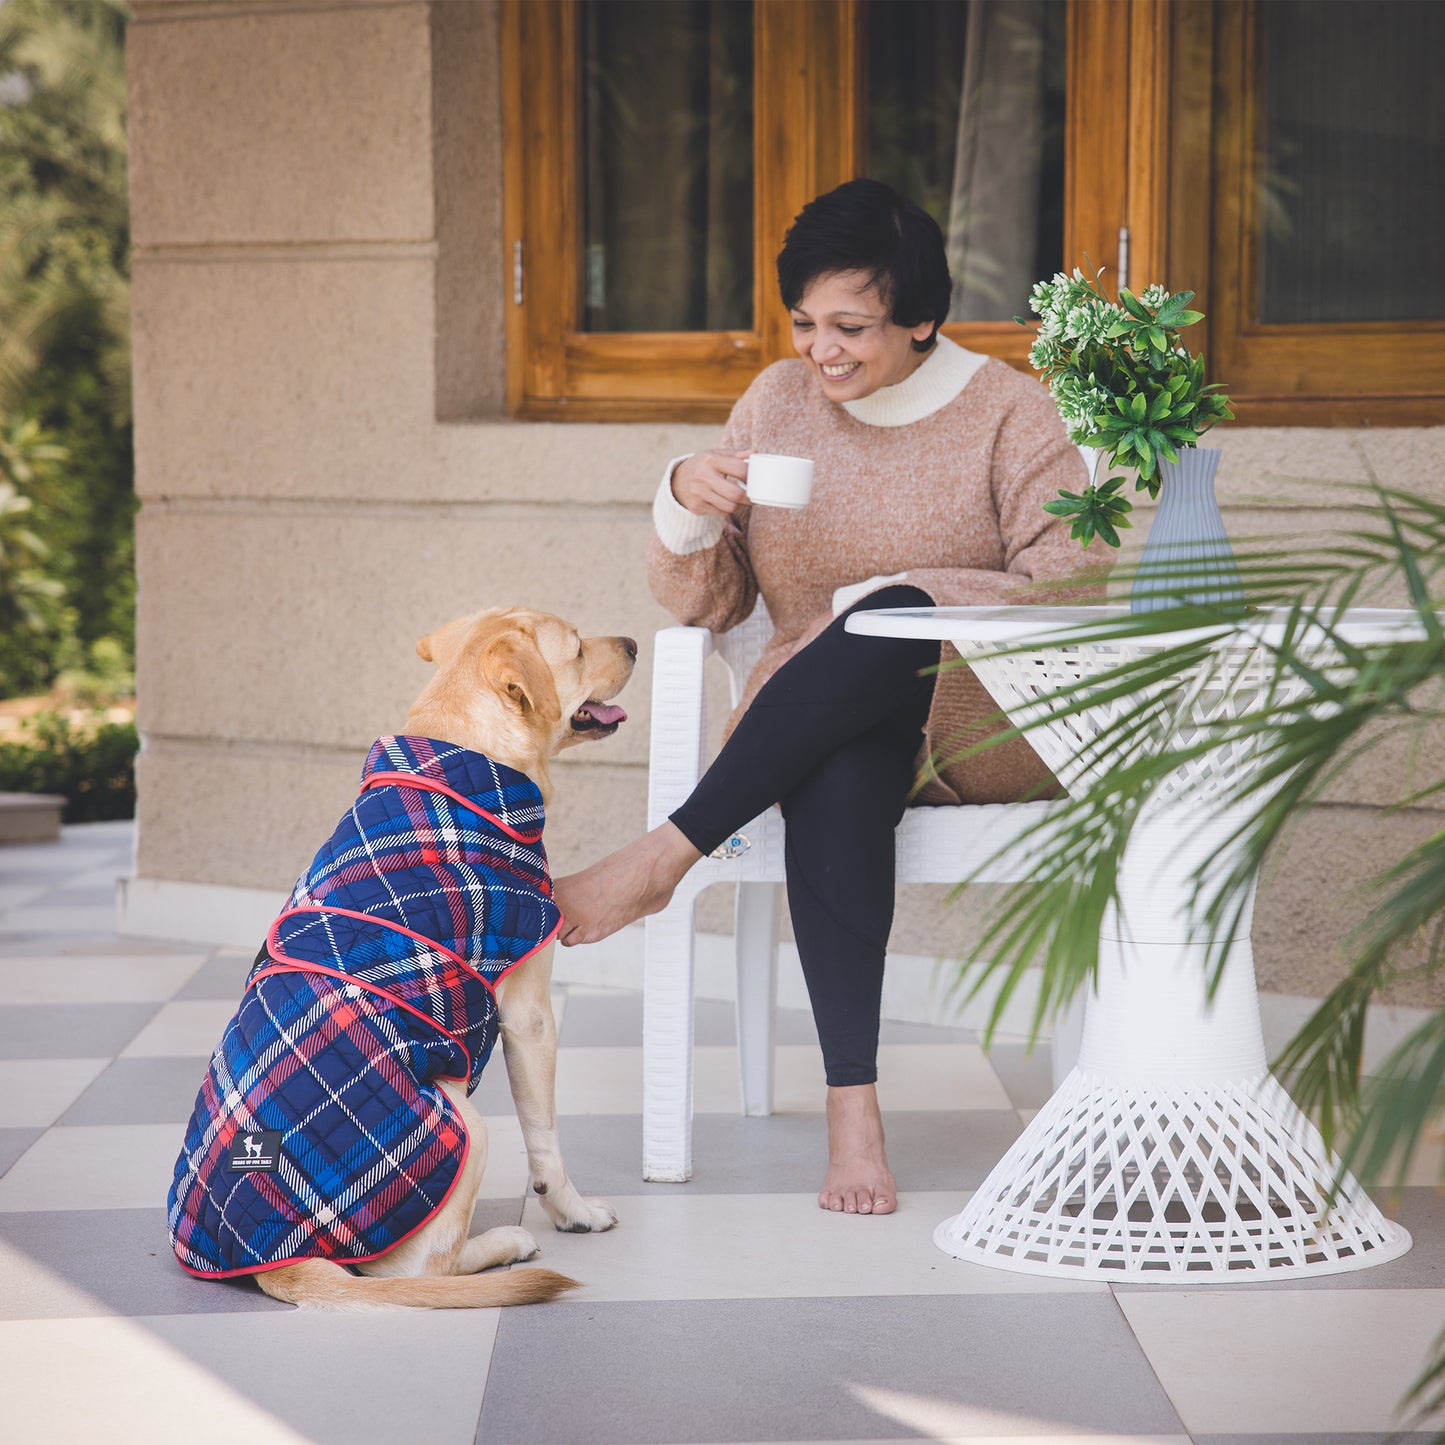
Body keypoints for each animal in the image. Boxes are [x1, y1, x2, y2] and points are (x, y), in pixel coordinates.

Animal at [167, 606, 632, 1312]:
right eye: (578, 649)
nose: (634, 642)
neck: (465, 754)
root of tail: (283, 1262)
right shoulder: (530, 1016)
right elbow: (546, 1140)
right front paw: (573, 1213)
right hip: (467, 1125)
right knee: (420, 1270)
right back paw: (505, 1243)